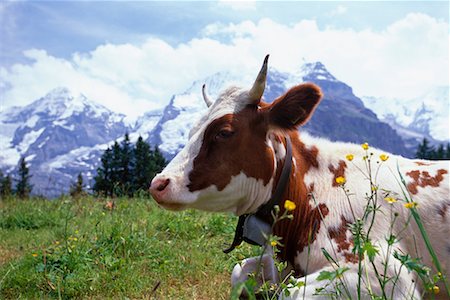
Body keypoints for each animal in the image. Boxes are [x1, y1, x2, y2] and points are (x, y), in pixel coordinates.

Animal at [149, 55, 448, 298]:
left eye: (224, 132)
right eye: (191, 132)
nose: (158, 184)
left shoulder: (386, 270)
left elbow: (290, 292)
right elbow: (239, 272)